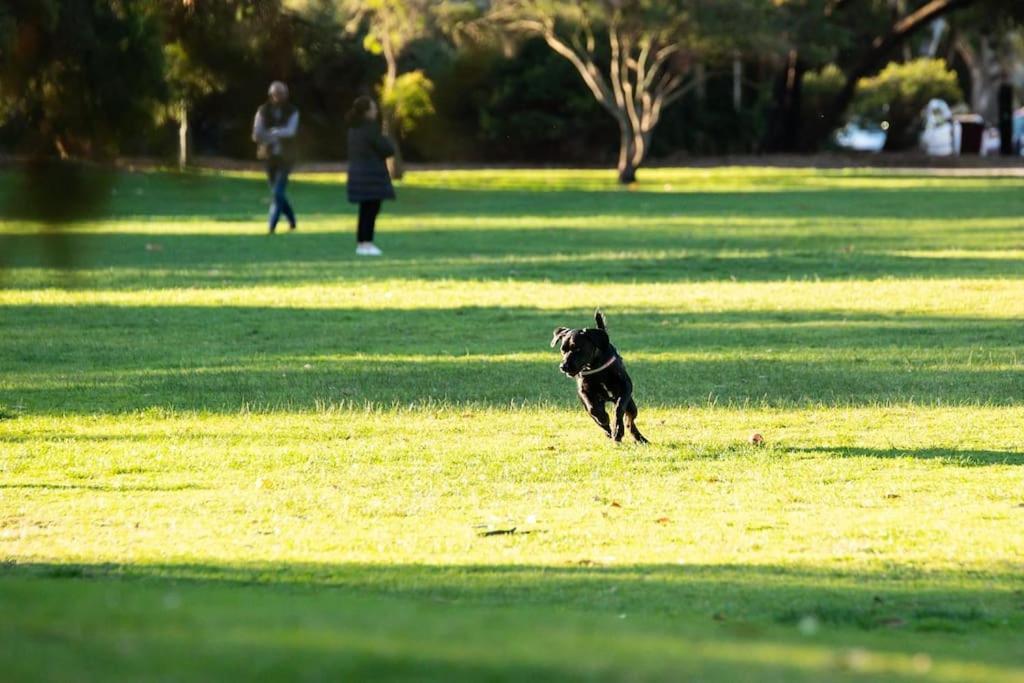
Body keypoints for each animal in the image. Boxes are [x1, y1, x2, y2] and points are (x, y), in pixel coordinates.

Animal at [552, 311, 647, 444]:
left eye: (577, 348)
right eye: (563, 350)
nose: (563, 366)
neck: (594, 366)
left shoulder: (625, 386)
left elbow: (619, 408)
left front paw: (618, 429)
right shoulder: (584, 392)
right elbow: (593, 409)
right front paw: (604, 419)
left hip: (631, 406)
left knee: (629, 420)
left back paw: (638, 438)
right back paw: (609, 431)